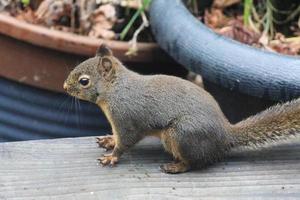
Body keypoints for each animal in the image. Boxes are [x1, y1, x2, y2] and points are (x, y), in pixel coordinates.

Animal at [63, 44, 300, 173]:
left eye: (84, 81)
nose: (64, 87)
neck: (115, 89)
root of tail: (225, 135)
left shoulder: (126, 119)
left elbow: (126, 141)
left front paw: (112, 156)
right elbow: (116, 137)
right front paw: (109, 140)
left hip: (180, 135)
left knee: (197, 162)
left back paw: (177, 166)